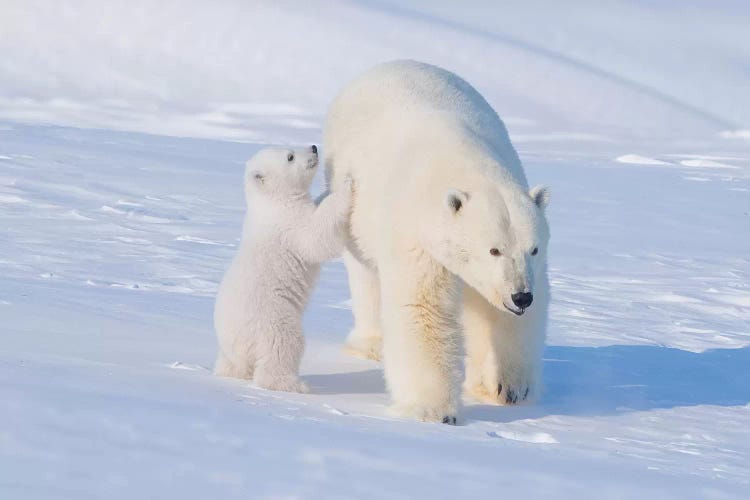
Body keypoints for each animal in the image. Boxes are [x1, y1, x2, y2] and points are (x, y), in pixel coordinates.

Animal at [213, 146, 352, 392]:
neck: (272, 203)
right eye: (290, 157)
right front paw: (346, 185)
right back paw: (295, 385)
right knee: (284, 344)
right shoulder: (289, 225)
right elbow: (315, 237)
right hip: (272, 316)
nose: (314, 147)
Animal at [324, 60, 552, 424]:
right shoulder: (416, 234)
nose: (521, 297)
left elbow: (496, 311)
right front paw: (433, 410)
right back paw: (371, 344)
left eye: (534, 248)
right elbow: (423, 307)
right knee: (367, 275)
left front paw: (507, 387)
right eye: (493, 249)